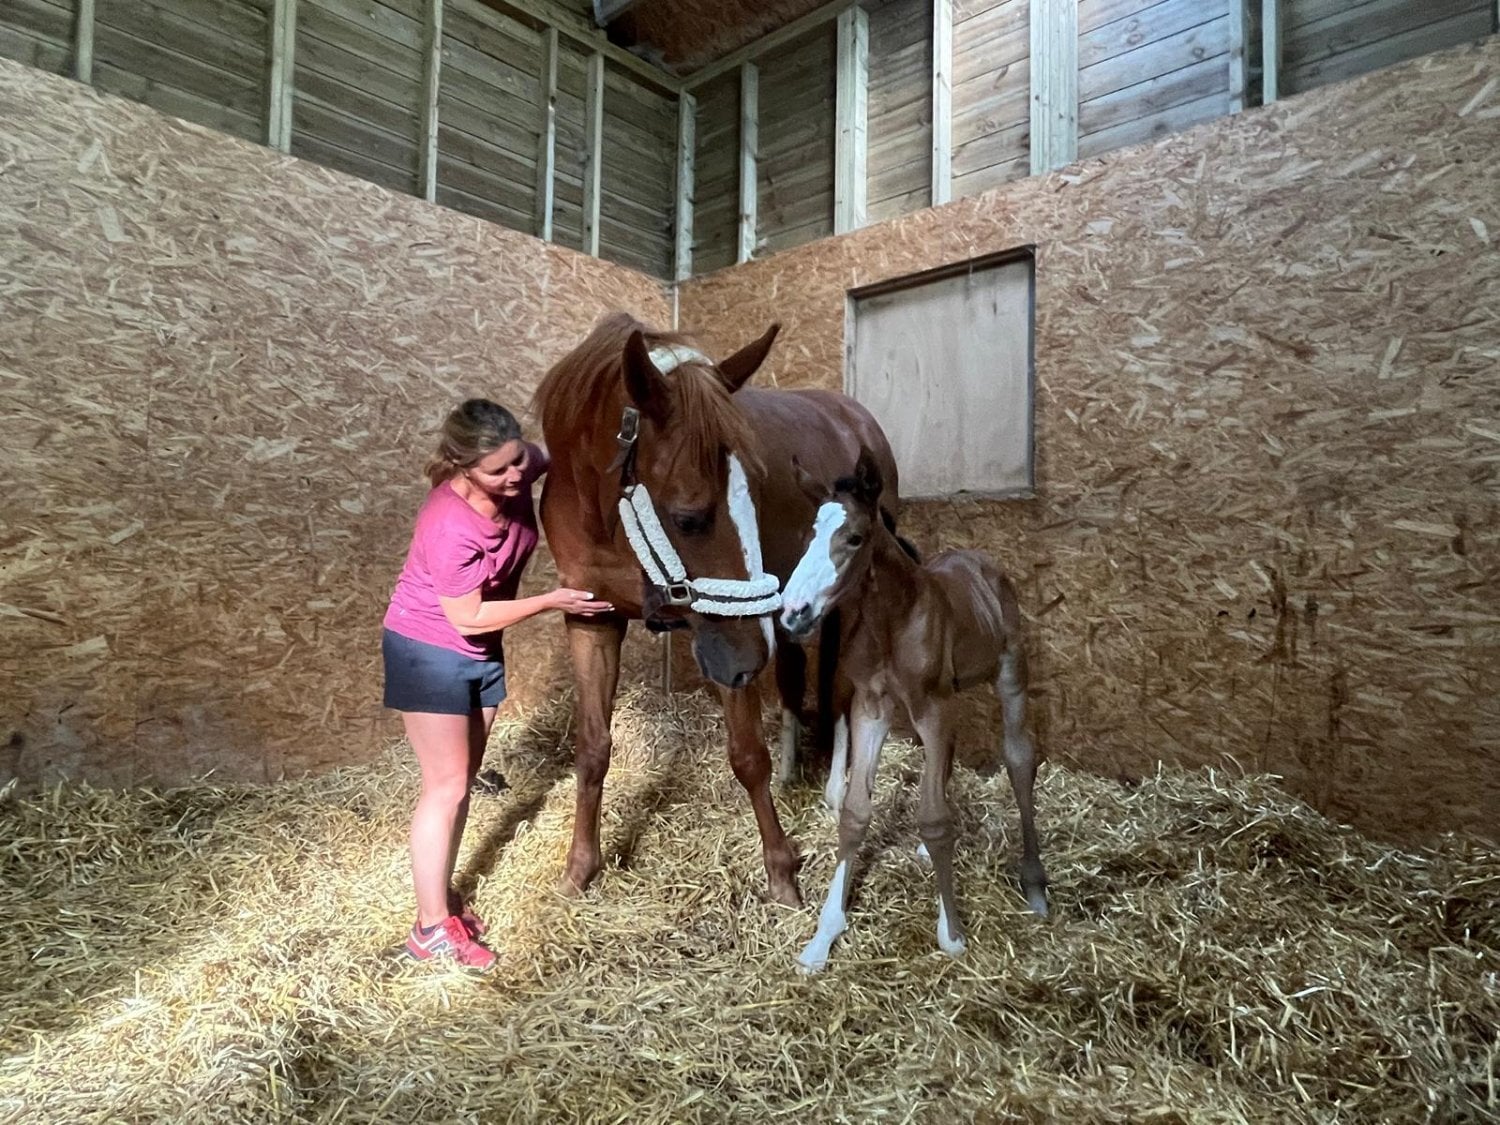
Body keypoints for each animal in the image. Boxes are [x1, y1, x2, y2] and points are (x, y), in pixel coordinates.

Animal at [532, 312, 901, 907]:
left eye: (754, 491)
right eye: (689, 517)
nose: (751, 661)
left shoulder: (729, 636)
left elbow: (747, 755)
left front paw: (781, 874)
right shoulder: (592, 619)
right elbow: (591, 749)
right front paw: (579, 870)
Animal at [779, 449, 1049, 971]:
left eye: (854, 538)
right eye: (808, 536)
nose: (794, 612)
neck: (892, 622)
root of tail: (979, 562)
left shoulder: (930, 706)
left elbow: (936, 818)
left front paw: (953, 933)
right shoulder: (871, 707)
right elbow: (855, 812)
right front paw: (823, 936)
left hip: (1010, 672)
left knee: (1019, 759)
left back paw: (1036, 887)